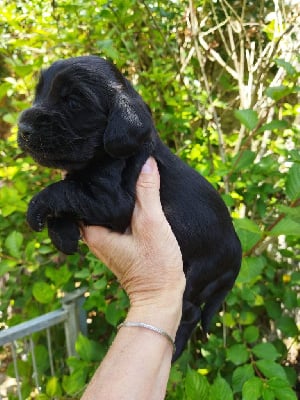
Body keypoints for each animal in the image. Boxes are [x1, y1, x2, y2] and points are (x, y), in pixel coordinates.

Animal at [18, 55, 241, 360]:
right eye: (39, 93)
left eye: (73, 102)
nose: (23, 130)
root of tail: (237, 253)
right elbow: (67, 192)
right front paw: (63, 235)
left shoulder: (112, 201)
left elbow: (62, 190)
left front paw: (36, 210)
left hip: (194, 276)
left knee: (190, 312)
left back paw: (175, 350)